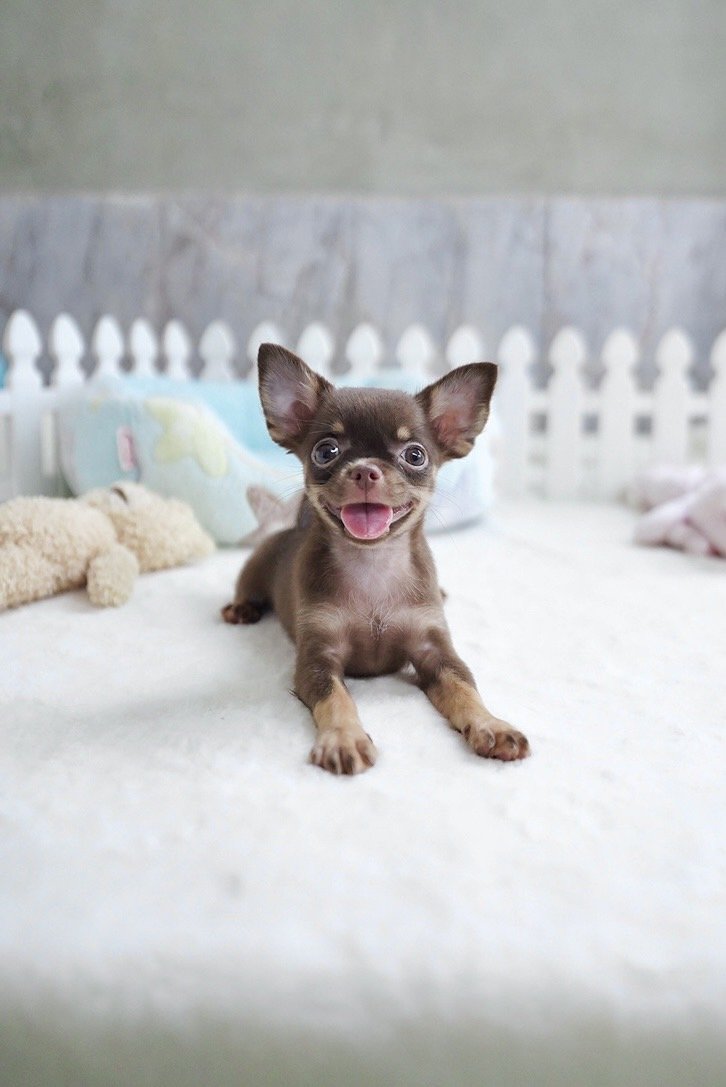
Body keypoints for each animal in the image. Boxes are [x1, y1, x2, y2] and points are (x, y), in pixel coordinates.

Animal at [222, 344, 530, 775]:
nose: (366, 470)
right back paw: (240, 608)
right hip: (255, 567)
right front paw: (344, 738)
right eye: (326, 451)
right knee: (246, 588)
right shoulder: (317, 661)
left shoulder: (437, 653)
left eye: (415, 455)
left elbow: (465, 689)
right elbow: (336, 698)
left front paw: (491, 724)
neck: (373, 564)